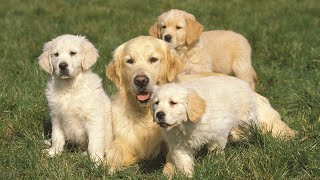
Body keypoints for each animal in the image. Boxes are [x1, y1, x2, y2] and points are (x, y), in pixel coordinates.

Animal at [38, 34, 112, 165]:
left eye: (73, 53)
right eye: (56, 54)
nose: (62, 65)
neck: (69, 87)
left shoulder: (93, 119)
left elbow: (94, 143)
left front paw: (96, 162)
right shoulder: (57, 117)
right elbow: (57, 137)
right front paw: (53, 152)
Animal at [105, 35, 182, 173]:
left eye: (153, 59)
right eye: (130, 61)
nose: (141, 81)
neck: (146, 113)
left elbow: (173, 154)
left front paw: (170, 171)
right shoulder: (123, 140)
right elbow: (114, 152)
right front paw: (109, 165)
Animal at [152, 75, 298, 177]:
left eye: (173, 103)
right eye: (156, 103)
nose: (159, 114)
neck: (185, 125)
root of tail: (244, 84)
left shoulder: (218, 133)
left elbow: (215, 151)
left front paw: (216, 163)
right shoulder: (179, 146)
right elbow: (184, 163)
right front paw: (187, 175)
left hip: (247, 119)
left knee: (254, 130)